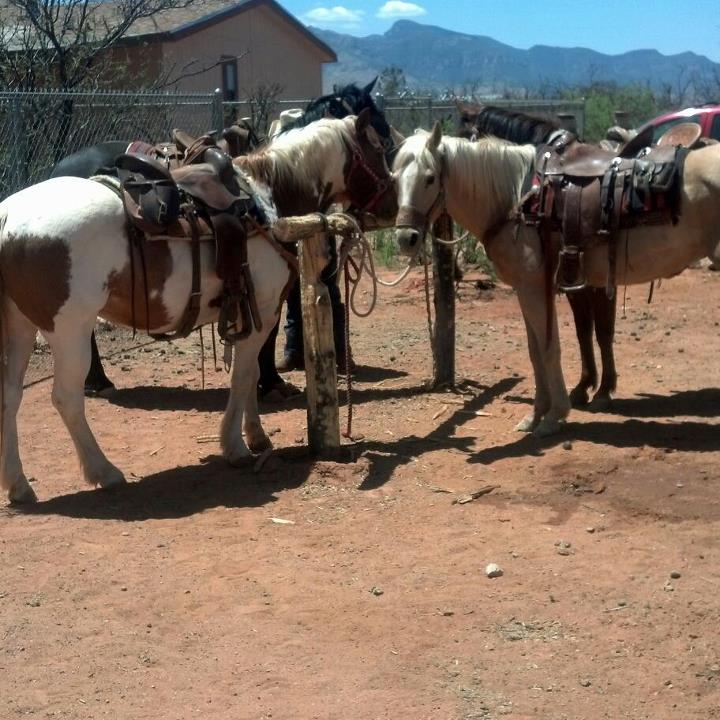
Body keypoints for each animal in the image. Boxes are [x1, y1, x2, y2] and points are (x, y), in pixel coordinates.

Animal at [0, 114, 396, 506]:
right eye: (377, 149)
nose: (393, 204)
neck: (266, 202)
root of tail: (8, 216)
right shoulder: (265, 310)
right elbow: (243, 376)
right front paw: (236, 447)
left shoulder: (247, 312)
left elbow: (251, 373)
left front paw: (257, 436)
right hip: (69, 331)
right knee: (66, 399)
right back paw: (104, 471)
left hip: (20, 327)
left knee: (10, 395)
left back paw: (19, 485)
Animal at [390, 124, 720, 436]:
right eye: (394, 179)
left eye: (430, 177)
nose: (407, 238)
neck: (516, 201)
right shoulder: (531, 288)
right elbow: (536, 350)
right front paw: (536, 414)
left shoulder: (534, 288)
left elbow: (550, 349)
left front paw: (554, 416)